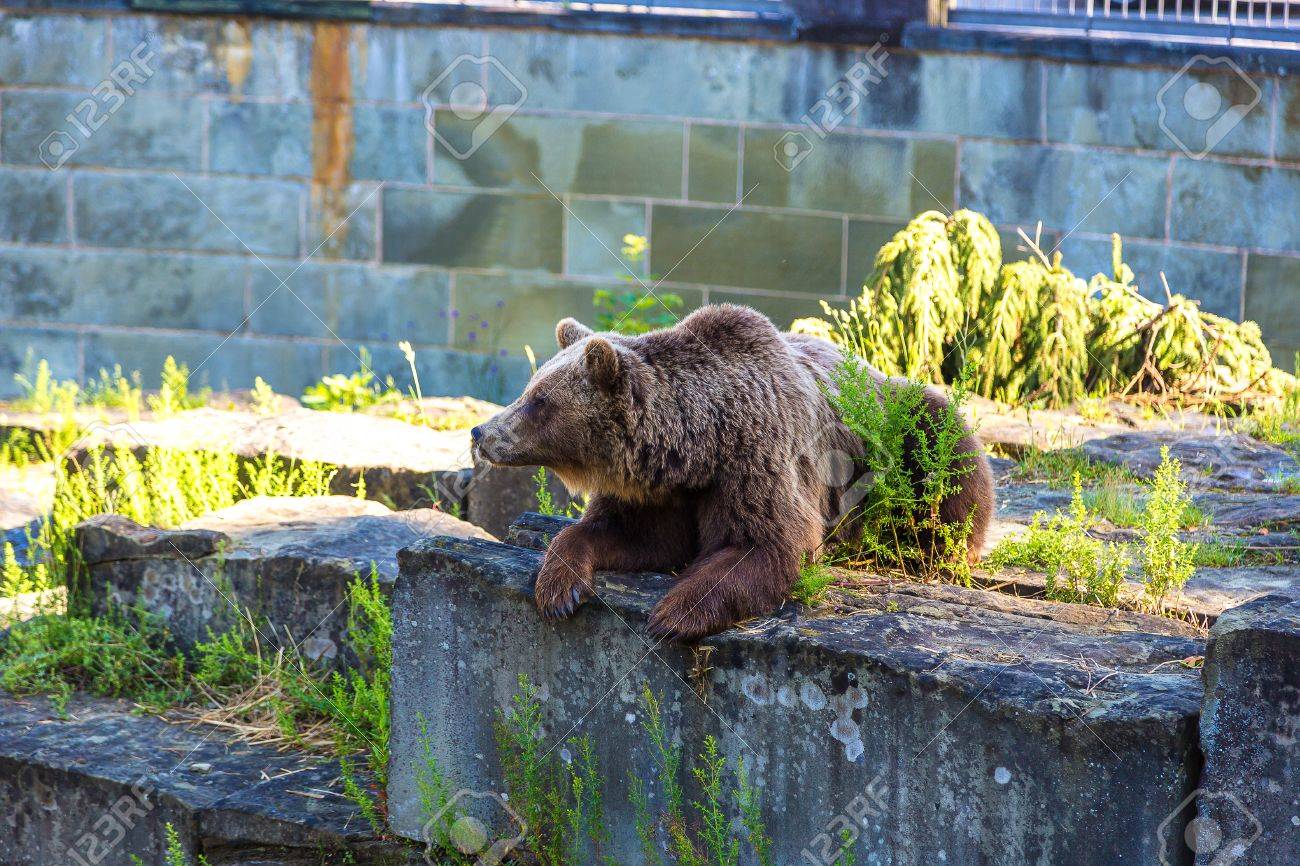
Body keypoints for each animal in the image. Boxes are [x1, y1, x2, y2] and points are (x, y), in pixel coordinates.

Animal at [473, 305, 987, 639]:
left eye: (539, 400)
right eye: (530, 388)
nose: (481, 432)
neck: (697, 447)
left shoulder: (757, 459)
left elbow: (766, 545)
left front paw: (672, 614)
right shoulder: (659, 491)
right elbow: (627, 533)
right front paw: (558, 588)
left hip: (900, 426)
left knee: (948, 453)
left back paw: (939, 549)